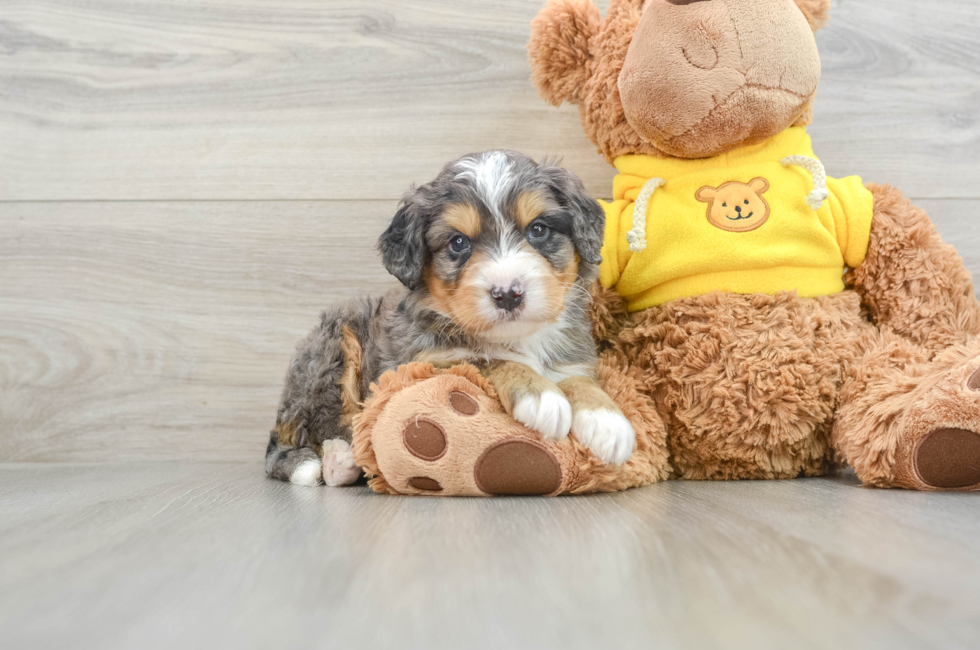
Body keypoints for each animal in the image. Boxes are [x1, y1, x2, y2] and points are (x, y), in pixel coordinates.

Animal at [266, 152, 636, 484]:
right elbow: (488, 360)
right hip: (334, 349)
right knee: (310, 431)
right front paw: (540, 394)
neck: (517, 336)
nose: (508, 294)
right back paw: (337, 461)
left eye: (538, 230)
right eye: (458, 242)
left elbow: (578, 380)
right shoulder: (422, 366)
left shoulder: (573, 358)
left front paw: (606, 420)